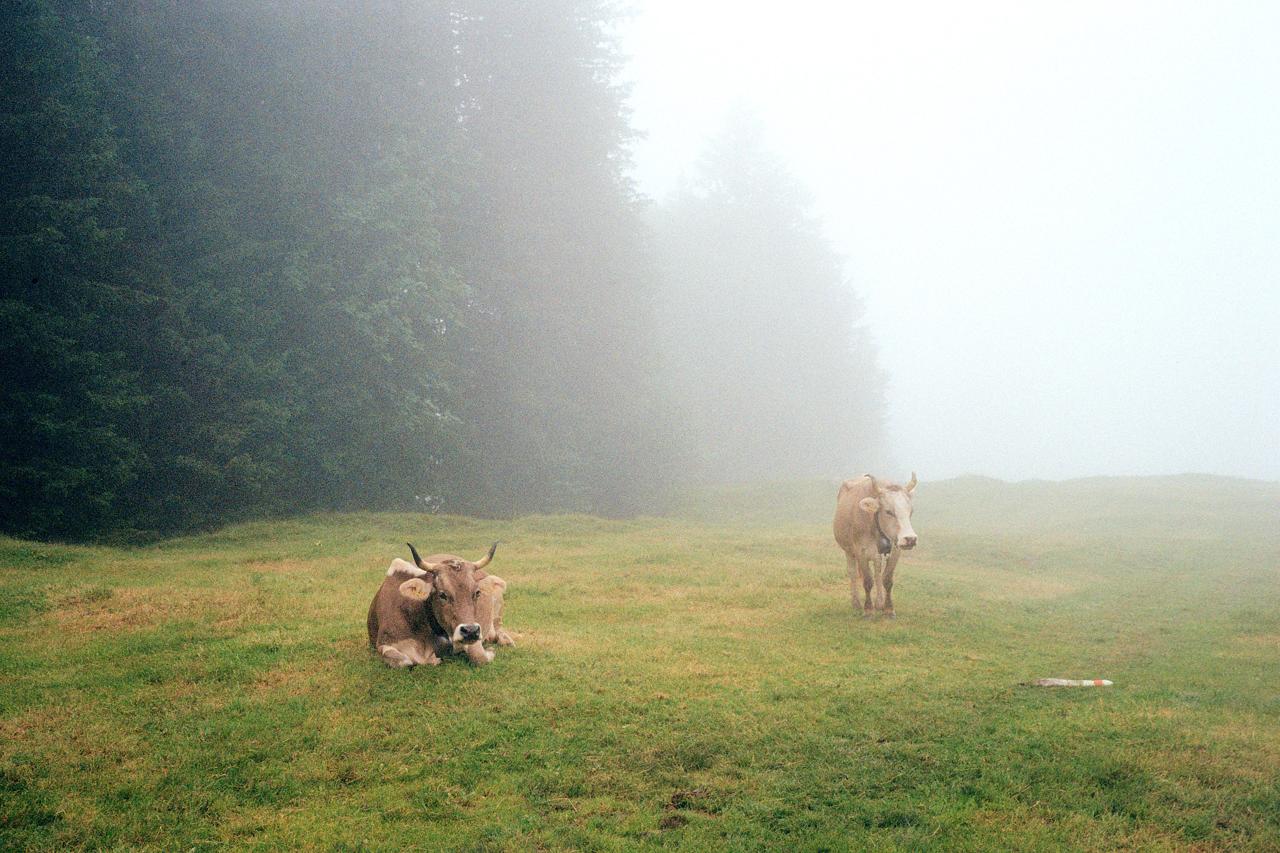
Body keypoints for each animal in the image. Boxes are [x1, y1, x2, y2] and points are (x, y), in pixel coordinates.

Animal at [367, 541, 514, 668]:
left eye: (477, 592)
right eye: (442, 595)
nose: (470, 631)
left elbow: (479, 657)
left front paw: (490, 652)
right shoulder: (383, 644)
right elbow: (404, 661)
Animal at [833, 473, 918, 617]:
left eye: (911, 511)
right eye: (889, 511)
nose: (910, 539)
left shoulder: (895, 551)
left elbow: (887, 579)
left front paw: (888, 609)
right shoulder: (861, 551)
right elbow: (867, 581)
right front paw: (868, 610)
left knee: (878, 570)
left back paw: (879, 602)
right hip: (848, 550)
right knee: (852, 572)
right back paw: (856, 603)